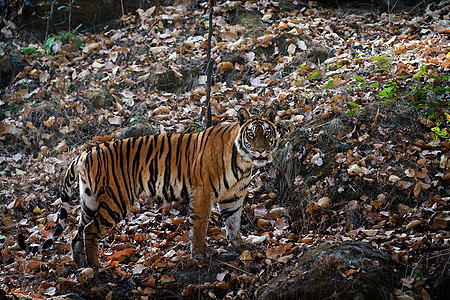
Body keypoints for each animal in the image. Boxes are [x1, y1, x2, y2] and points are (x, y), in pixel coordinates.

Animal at [19, 107, 276, 268]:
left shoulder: (233, 197)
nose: (261, 150)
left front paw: (241, 246)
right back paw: (97, 265)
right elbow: (201, 224)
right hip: (115, 201)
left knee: (76, 233)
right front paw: (201, 252)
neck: (244, 163)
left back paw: (83, 267)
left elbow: (234, 222)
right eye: (251, 135)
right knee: (90, 230)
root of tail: (85, 152)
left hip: (89, 201)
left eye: (267, 133)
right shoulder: (203, 192)